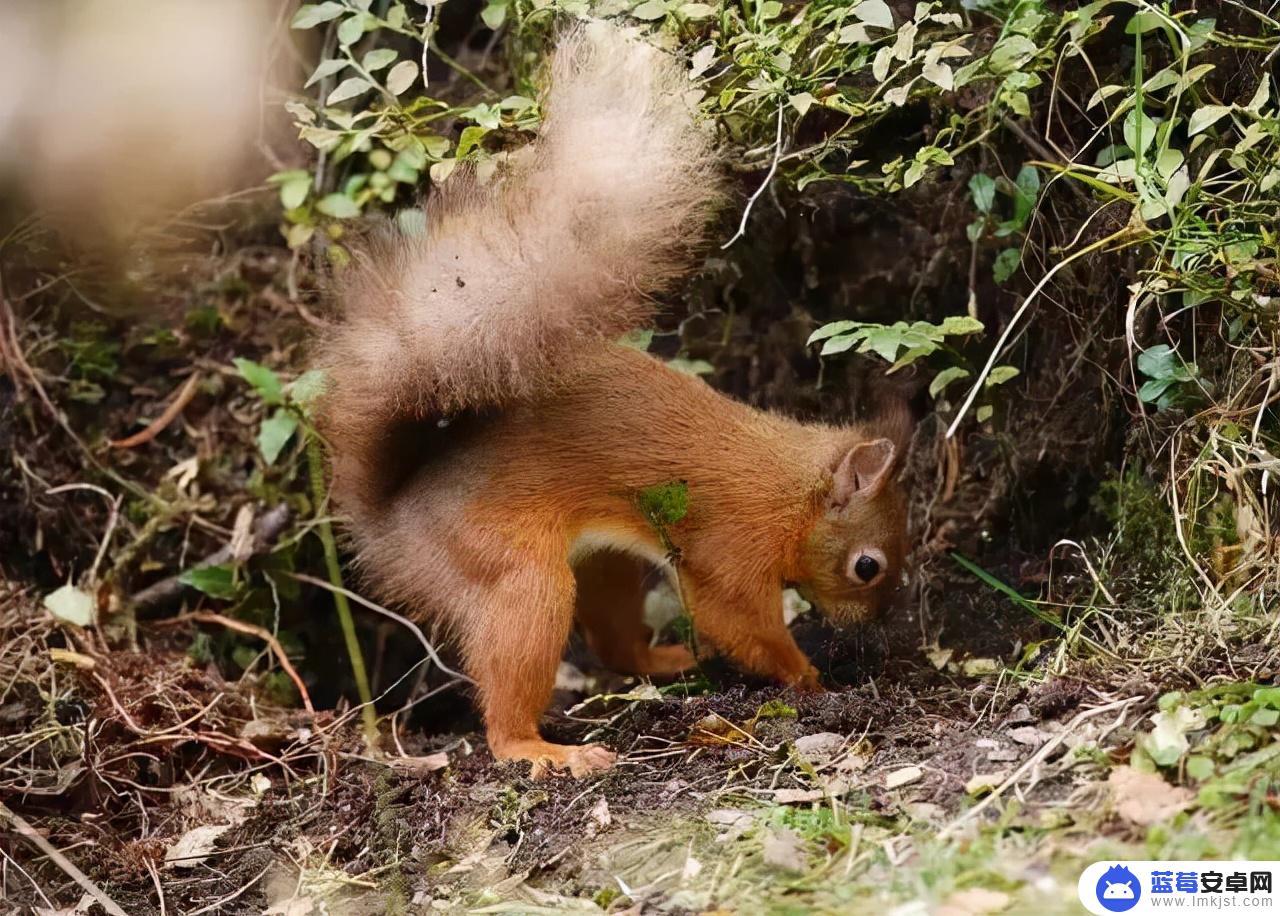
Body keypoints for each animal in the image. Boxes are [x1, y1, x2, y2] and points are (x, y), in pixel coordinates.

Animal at [316, 21, 911, 777]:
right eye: (868, 567)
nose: (877, 624)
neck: (790, 489)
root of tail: (388, 526)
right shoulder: (732, 546)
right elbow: (737, 621)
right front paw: (810, 679)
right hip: (516, 578)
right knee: (509, 697)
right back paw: (543, 748)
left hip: (605, 565)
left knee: (612, 642)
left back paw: (666, 661)